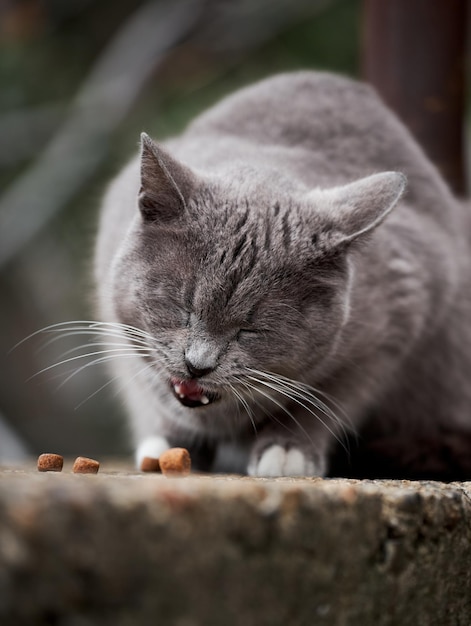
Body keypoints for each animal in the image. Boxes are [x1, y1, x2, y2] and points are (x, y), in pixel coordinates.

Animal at [93, 69, 471, 478]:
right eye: (182, 307)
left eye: (253, 329)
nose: (197, 365)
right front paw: (168, 443)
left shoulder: (396, 326)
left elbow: (329, 400)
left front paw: (288, 450)